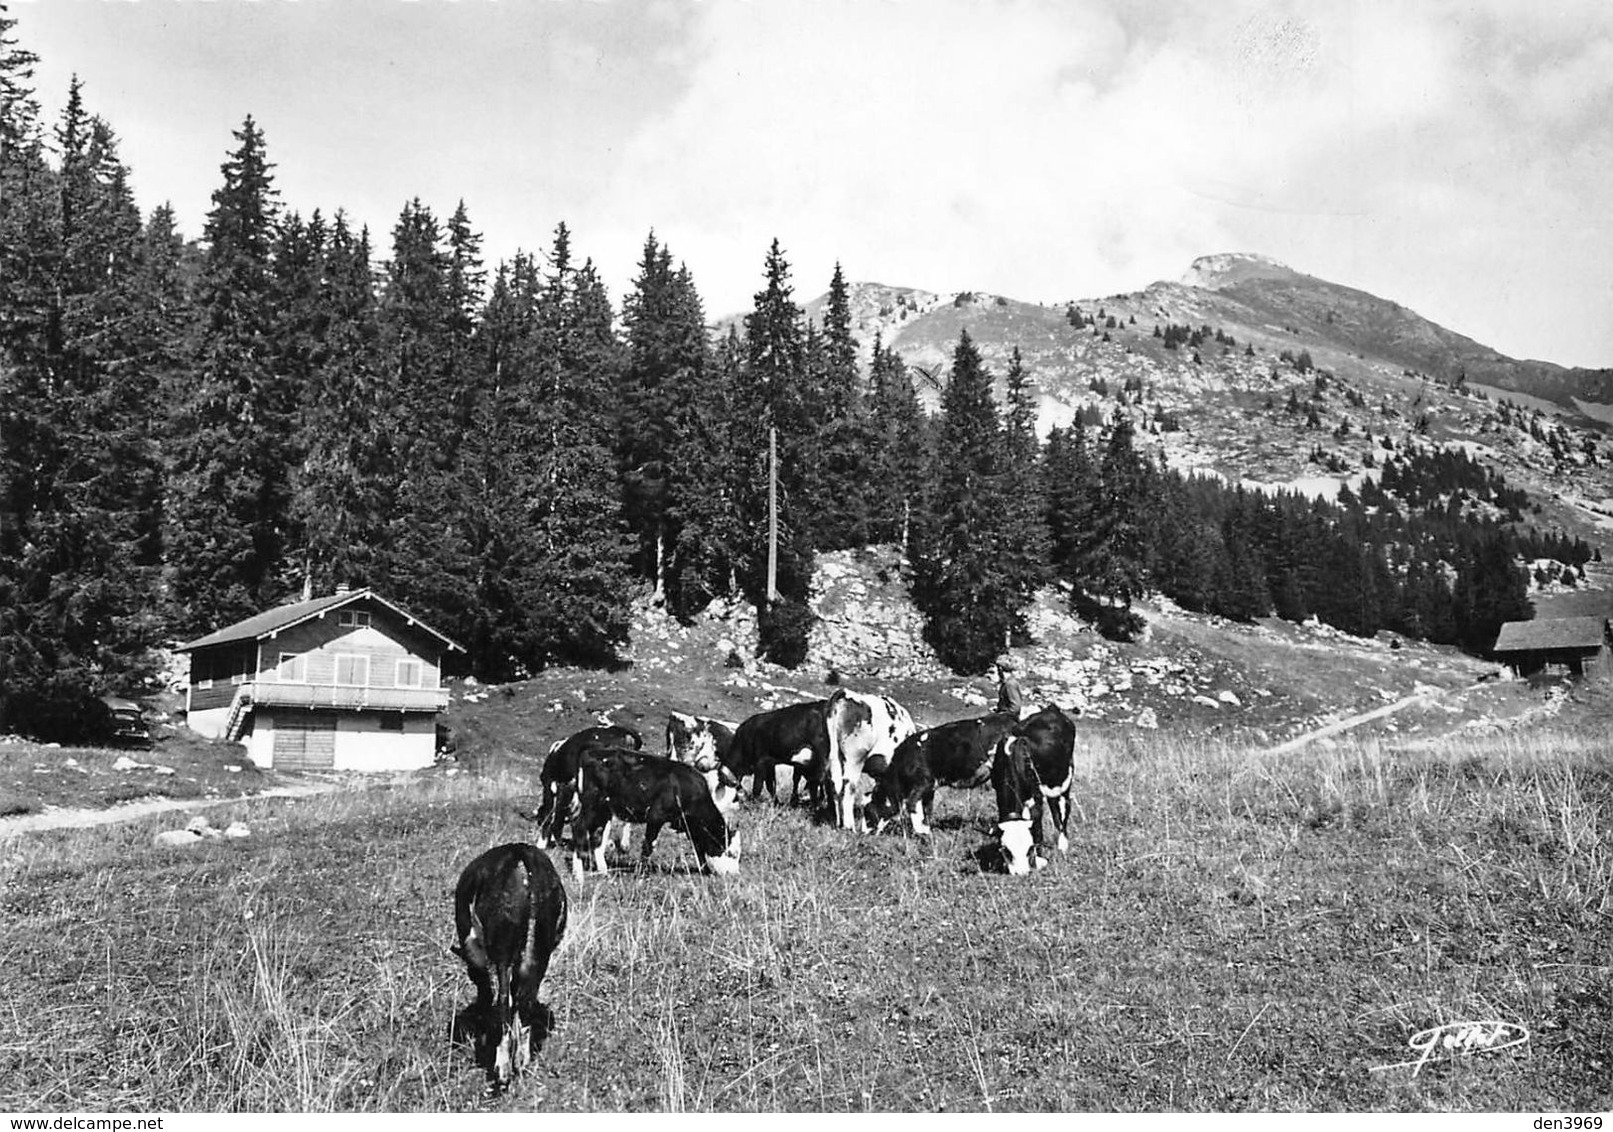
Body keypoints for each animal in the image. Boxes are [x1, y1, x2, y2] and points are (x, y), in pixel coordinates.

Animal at [451, 844, 571, 1096]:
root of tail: (521, 854)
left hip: (503, 951)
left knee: (504, 999)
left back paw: (503, 1070)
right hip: (537, 953)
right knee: (524, 1002)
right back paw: (521, 1062)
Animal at [564, 748, 738, 883]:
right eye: (731, 853)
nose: (733, 874)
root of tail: (589, 752)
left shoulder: (690, 825)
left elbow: (698, 848)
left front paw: (704, 870)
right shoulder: (656, 817)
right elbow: (649, 846)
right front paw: (641, 873)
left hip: (604, 809)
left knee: (597, 836)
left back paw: (604, 872)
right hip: (591, 804)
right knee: (579, 828)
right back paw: (578, 876)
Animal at [825, 686, 916, 838]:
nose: (867, 832)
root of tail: (846, 693)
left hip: (834, 755)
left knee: (834, 784)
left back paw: (838, 824)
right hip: (855, 757)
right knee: (848, 787)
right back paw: (849, 827)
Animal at [864, 712, 1012, 838]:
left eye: (869, 811)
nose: (863, 833)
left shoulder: (921, 784)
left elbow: (912, 805)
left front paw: (922, 833)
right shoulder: (929, 789)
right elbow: (927, 810)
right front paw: (927, 830)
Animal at [987, 709, 1077, 877]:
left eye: (1029, 848)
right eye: (1006, 850)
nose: (1021, 873)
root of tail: (1052, 709)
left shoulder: (1036, 798)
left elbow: (1037, 827)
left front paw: (1039, 858)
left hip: (1065, 780)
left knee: (1063, 808)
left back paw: (1062, 844)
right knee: (1054, 808)